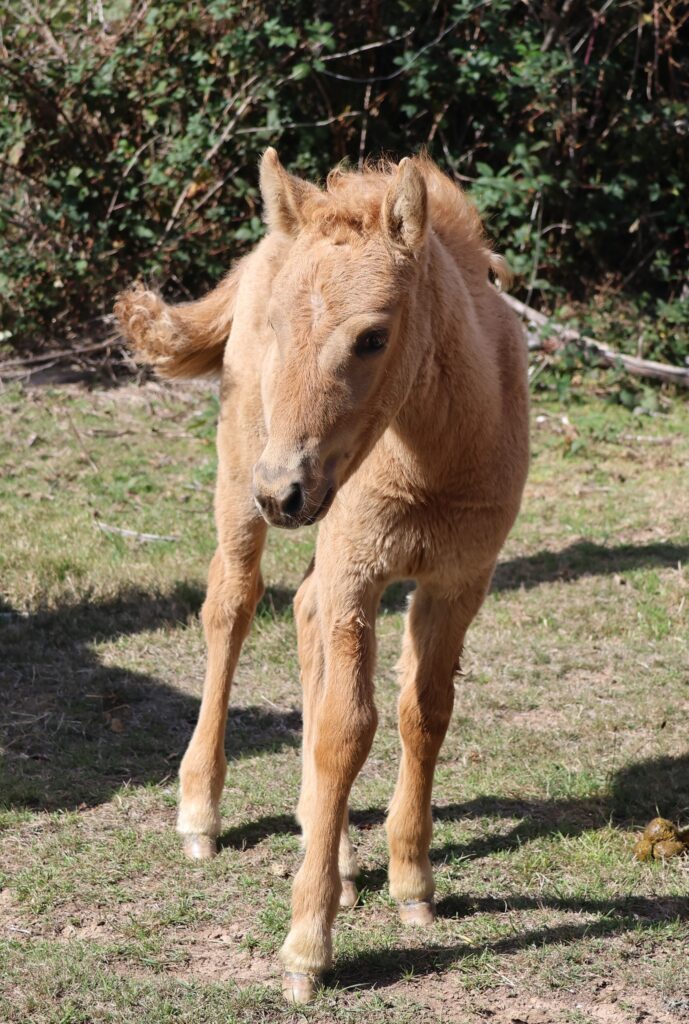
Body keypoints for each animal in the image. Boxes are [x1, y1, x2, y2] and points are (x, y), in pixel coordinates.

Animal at [115, 151, 528, 999]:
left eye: (371, 336)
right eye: (277, 327)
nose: (285, 491)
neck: (432, 461)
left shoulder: (458, 581)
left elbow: (422, 713)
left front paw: (410, 882)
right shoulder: (355, 574)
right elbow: (346, 727)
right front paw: (306, 946)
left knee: (300, 615)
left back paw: (328, 848)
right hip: (240, 479)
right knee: (232, 605)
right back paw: (202, 813)